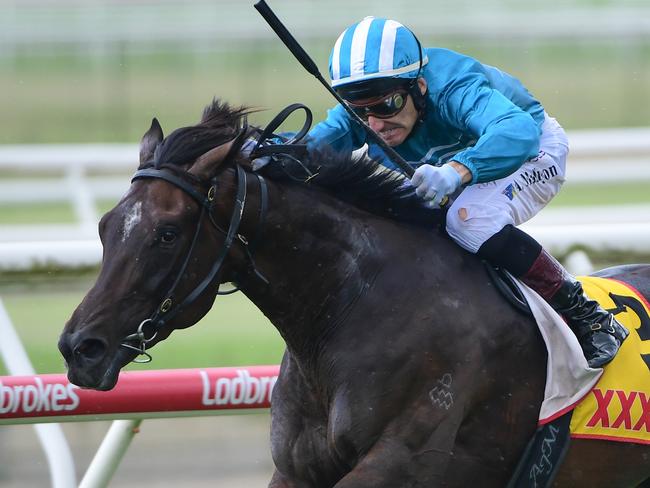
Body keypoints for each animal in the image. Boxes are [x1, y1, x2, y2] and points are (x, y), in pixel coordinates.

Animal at [58, 101, 644, 486]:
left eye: (166, 233)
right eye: (106, 227)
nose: (79, 348)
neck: (351, 311)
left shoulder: (402, 460)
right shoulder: (296, 470)